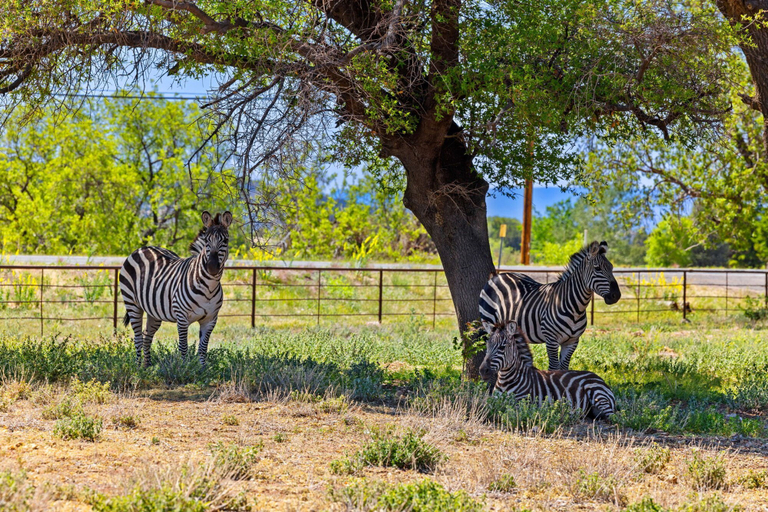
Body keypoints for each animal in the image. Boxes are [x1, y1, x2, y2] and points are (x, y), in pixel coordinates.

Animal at [119, 211, 232, 367]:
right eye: (206, 241)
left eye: (225, 241)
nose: (212, 267)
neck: (208, 287)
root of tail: (142, 248)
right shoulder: (182, 317)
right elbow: (183, 347)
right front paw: (184, 369)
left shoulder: (210, 320)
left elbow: (203, 348)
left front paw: (202, 369)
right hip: (132, 304)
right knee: (138, 338)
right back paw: (138, 367)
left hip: (154, 312)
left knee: (146, 336)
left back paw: (147, 366)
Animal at [479, 240, 620, 371]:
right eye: (597, 268)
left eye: (612, 268)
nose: (616, 295)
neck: (576, 308)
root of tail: (498, 276)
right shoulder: (552, 340)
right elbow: (554, 368)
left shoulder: (572, 341)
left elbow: (564, 369)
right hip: (489, 321)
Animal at [479, 320, 616, 420]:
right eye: (487, 345)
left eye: (503, 347)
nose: (483, 370)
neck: (505, 380)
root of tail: (599, 377)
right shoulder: (493, 400)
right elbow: (483, 407)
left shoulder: (521, 403)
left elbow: (504, 412)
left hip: (598, 394)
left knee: (612, 417)